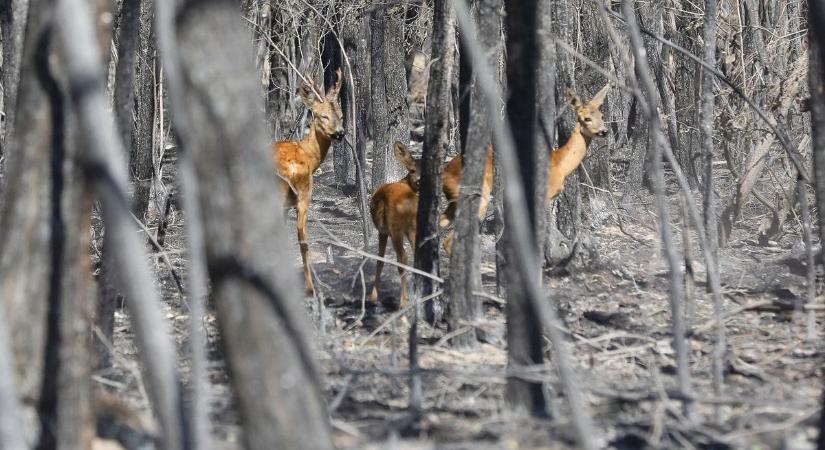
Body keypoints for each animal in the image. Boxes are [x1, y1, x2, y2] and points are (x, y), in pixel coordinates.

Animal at [274, 69, 344, 296]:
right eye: (323, 115)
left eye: (341, 115)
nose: (340, 133)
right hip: (302, 193)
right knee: (302, 239)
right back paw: (310, 287)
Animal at [372, 142, 422, 308]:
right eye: (412, 170)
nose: (419, 181)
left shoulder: (382, 231)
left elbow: (379, 260)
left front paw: (373, 297)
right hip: (412, 226)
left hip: (396, 228)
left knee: (403, 257)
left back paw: (403, 302)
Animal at [440, 83, 608, 253]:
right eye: (587, 118)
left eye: (601, 116)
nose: (604, 131)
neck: (560, 164)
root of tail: (445, 174)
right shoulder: (544, 194)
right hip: (478, 196)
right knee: (449, 240)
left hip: (455, 200)